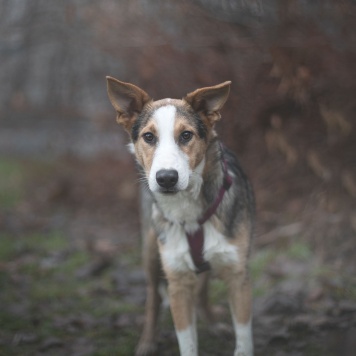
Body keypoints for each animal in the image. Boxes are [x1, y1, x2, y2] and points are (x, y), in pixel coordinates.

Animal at [107, 78, 254, 356]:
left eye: (186, 135)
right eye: (149, 137)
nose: (166, 178)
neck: (189, 211)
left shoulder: (238, 276)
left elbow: (243, 339)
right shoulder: (176, 281)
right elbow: (186, 341)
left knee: (202, 290)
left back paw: (213, 323)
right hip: (151, 252)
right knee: (153, 296)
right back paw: (147, 341)